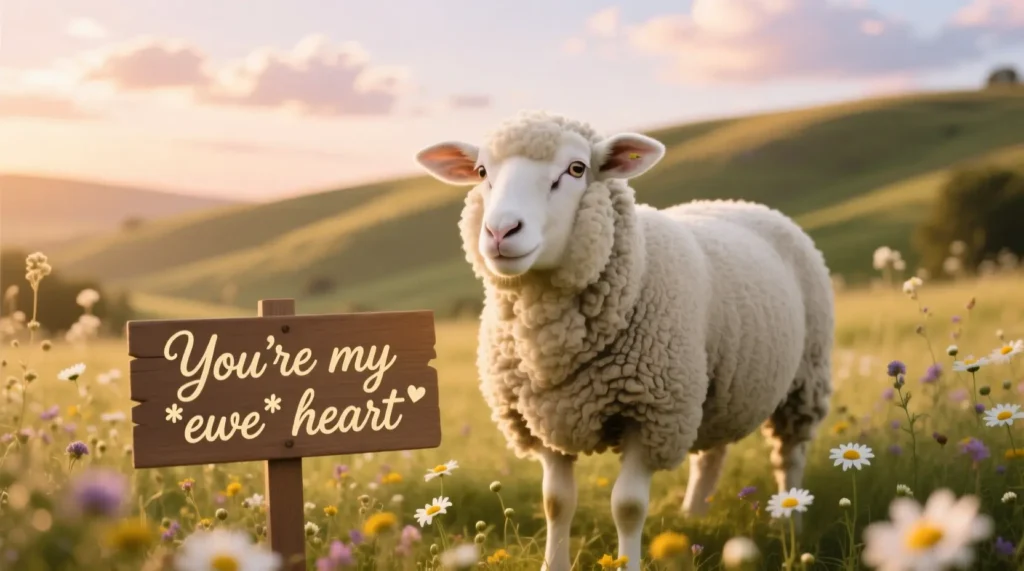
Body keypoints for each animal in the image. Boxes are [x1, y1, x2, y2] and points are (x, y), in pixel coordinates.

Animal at [414, 111, 834, 571]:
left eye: (576, 169)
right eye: (481, 172)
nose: (500, 231)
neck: (551, 342)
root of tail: (741, 203)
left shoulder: (650, 414)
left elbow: (628, 506)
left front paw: (627, 561)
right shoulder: (544, 417)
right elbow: (556, 503)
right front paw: (554, 563)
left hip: (803, 380)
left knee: (789, 457)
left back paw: (792, 524)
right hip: (713, 389)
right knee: (710, 456)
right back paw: (694, 514)